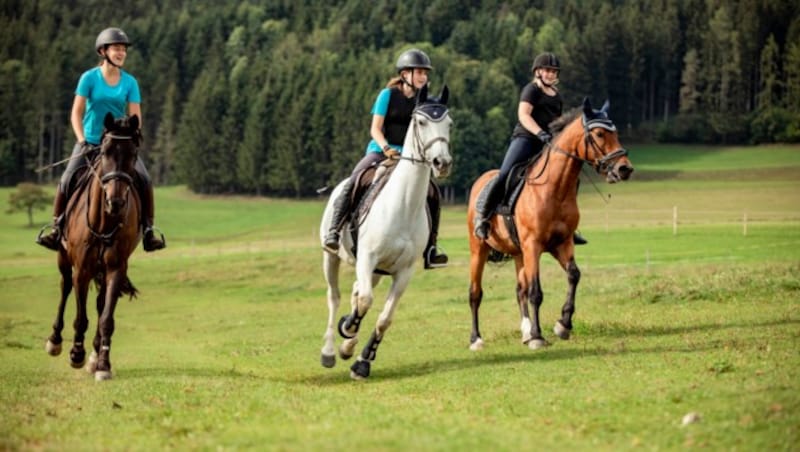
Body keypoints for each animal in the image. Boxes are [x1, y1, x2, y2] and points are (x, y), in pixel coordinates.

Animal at [44, 112, 144, 378]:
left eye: (133, 154)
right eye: (106, 151)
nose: (115, 202)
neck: (104, 221)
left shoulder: (116, 268)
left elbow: (106, 317)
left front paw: (102, 364)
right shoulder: (82, 269)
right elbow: (81, 317)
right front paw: (76, 353)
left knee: (100, 303)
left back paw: (94, 354)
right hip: (63, 258)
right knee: (65, 287)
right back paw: (55, 341)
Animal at [466, 99, 636, 352]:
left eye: (615, 133)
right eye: (599, 134)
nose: (624, 169)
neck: (554, 190)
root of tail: (480, 181)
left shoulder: (562, 244)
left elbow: (574, 275)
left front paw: (563, 325)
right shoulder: (534, 245)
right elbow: (536, 292)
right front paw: (538, 337)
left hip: (519, 253)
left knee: (520, 290)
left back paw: (525, 332)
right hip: (480, 249)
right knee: (475, 293)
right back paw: (476, 339)